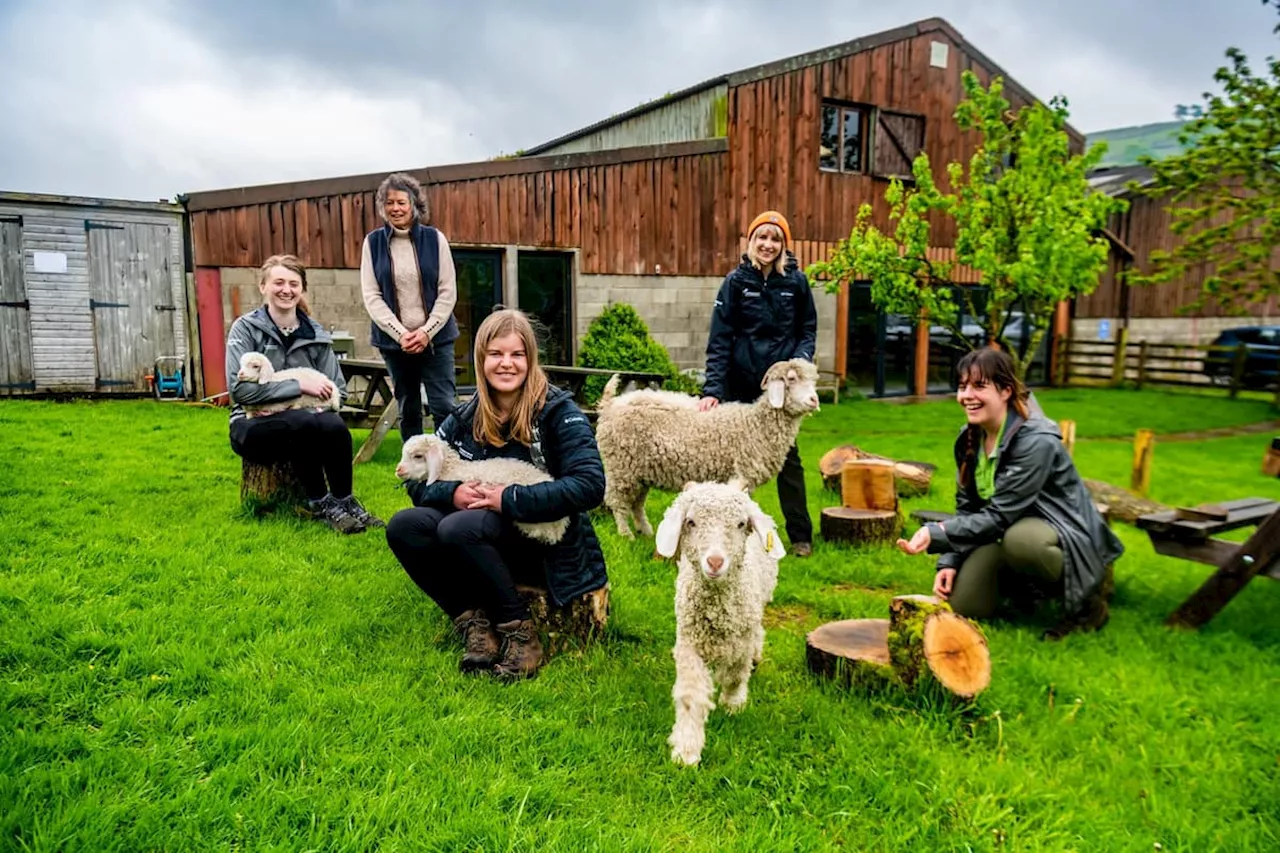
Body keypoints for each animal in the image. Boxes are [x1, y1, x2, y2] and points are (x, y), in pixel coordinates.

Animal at [591, 356, 819, 535]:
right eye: (792, 379)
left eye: (812, 381)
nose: (814, 400)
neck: (754, 424)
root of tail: (609, 407)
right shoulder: (738, 475)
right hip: (620, 467)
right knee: (618, 502)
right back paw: (626, 534)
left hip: (640, 471)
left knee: (637, 504)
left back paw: (646, 532)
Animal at [660, 479, 788, 763]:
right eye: (691, 522)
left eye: (741, 524)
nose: (715, 562)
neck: (716, 611)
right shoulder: (689, 642)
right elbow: (692, 695)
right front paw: (686, 749)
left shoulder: (742, 640)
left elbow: (735, 675)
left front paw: (733, 703)